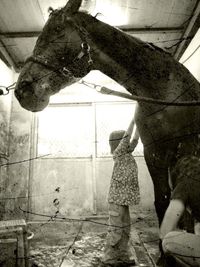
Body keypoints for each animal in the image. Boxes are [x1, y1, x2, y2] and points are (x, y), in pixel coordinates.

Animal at [15, 0, 200, 226]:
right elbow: (163, 204)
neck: (163, 90)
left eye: (57, 29)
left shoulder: (188, 147)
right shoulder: (153, 153)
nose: (21, 90)